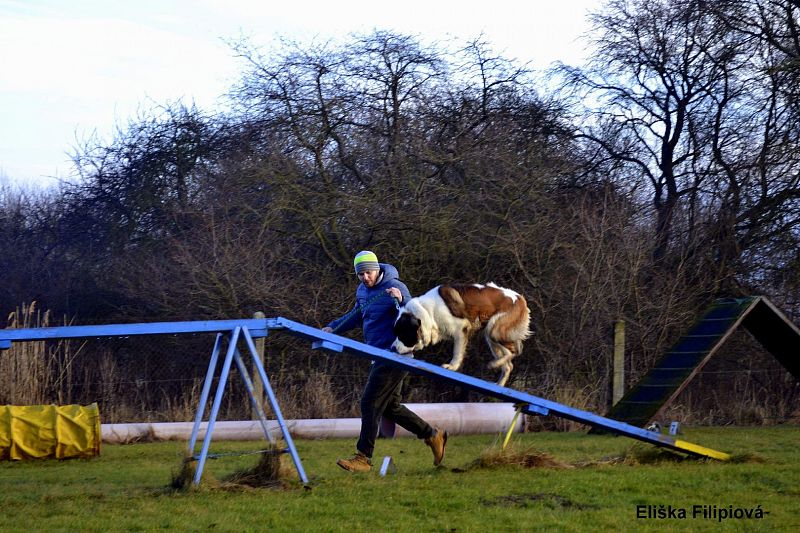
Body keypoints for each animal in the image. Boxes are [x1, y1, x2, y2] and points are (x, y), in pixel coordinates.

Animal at [392, 282, 532, 386]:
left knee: (515, 352)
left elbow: (457, 352)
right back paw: (499, 383)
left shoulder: (461, 329)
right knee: (509, 364)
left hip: (495, 330)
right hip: (492, 337)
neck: (428, 311)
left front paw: (452, 366)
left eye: (402, 334)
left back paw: (495, 364)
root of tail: (520, 298)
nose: (392, 348)